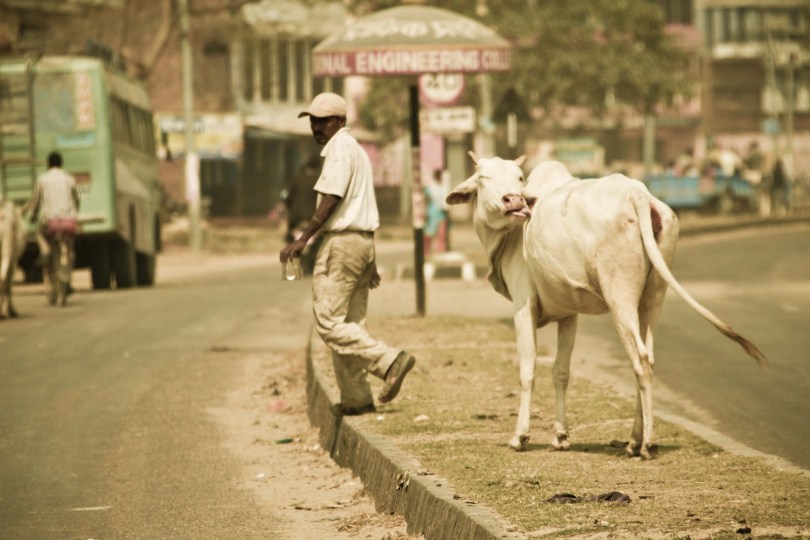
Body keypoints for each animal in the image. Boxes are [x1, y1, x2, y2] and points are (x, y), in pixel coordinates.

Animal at [446, 154, 767, 459]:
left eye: (519, 177)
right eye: (484, 178)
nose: (514, 200)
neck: (512, 236)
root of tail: (637, 195)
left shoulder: (523, 307)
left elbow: (528, 370)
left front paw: (520, 437)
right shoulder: (569, 314)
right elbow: (561, 372)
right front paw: (560, 436)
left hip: (619, 295)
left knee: (640, 360)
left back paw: (647, 444)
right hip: (653, 297)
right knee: (648, 357)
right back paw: (635, 440)